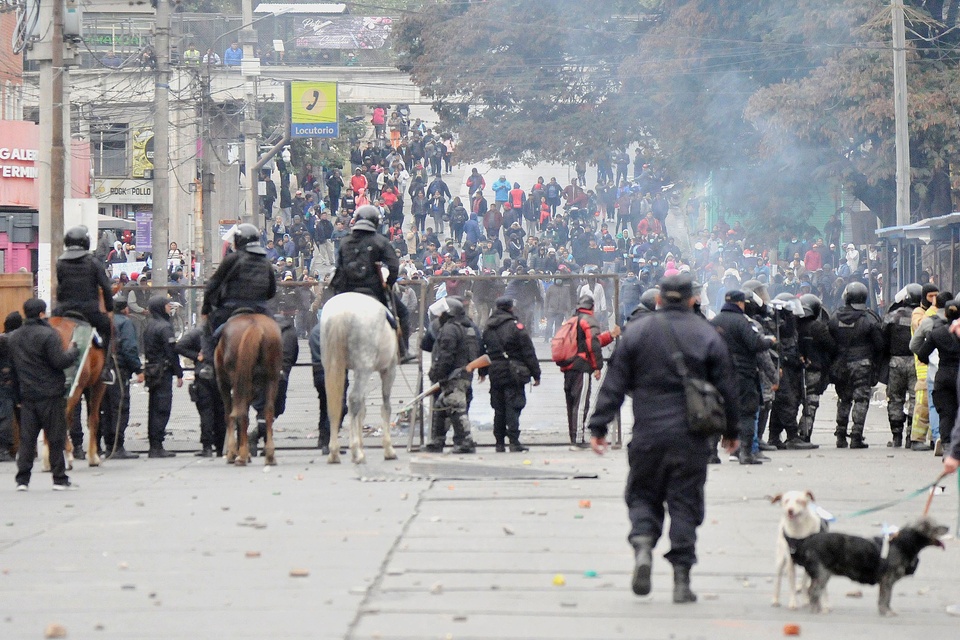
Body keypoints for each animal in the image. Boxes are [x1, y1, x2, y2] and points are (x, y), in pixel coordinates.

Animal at [214, 314, 282, 464]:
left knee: (241, 413)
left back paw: (242, 455)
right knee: (268, 410)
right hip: (272, 379)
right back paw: (269, 454)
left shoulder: (223, 384)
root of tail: (255, 325)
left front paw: (232, 452)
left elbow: (229, 415)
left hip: (236, 380)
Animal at [320, 292, 400, 462]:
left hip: (332, 365)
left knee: (335, 403)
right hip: (365, 367)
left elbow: (362, 410)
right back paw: (355, 451)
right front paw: (388, 449)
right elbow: (386, 406)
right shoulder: (389, 369)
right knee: (354, 399)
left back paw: (334, 452)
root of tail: (341, 313)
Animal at [796, 516, 944, 616]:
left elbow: (885, 598)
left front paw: (885, 610)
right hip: (822, 574)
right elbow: (885, 598)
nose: (947, 527)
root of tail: (807, 542)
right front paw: (886, 611)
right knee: (813, 591)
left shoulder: (887, 582)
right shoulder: (887, 580)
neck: (902, 544)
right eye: (935, 527)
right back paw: (816, 609)